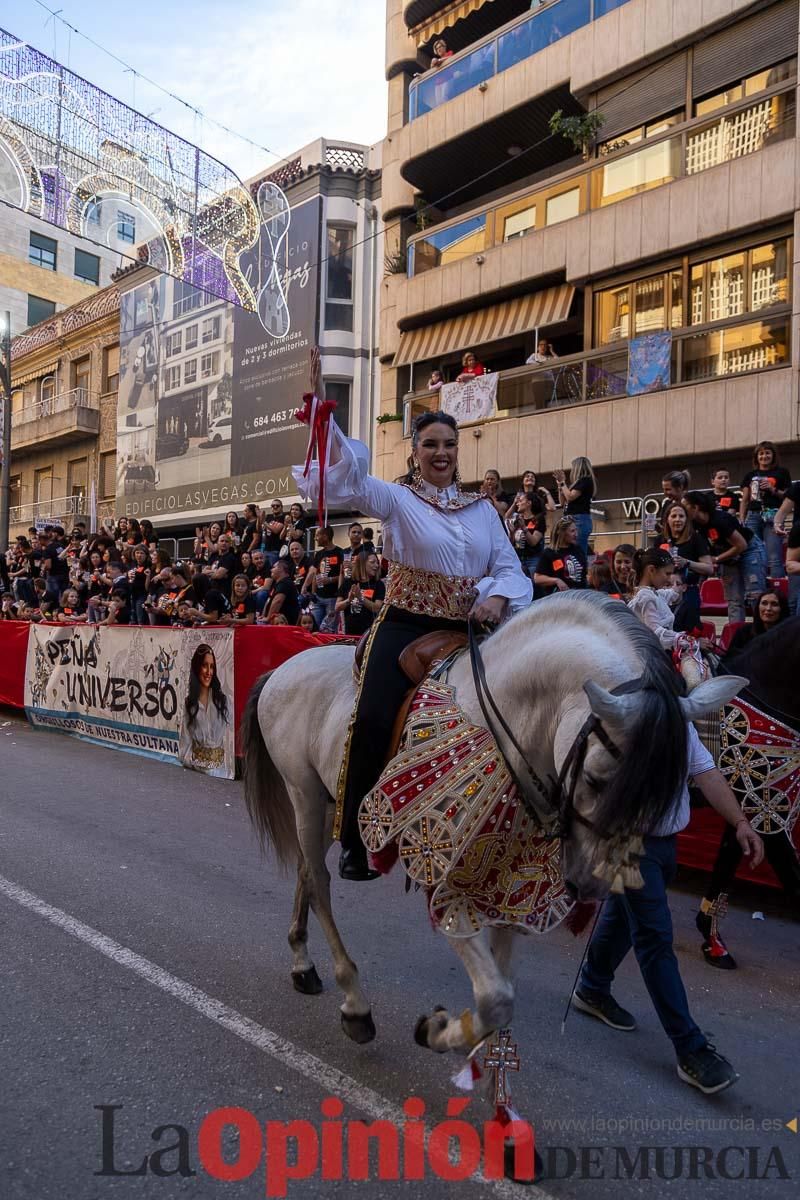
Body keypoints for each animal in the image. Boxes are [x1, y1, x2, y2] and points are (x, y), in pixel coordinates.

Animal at [239, 595, 743, 1056]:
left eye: (668, 798)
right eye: (598, 779)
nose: (592, 885)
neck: (510, 721)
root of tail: (284, 668)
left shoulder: (508, 880)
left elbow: (502, 992)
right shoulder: (443, 872)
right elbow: (497, 997)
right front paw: (437, 1031)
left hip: (328, 802)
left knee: (307, 872)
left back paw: (303, 964)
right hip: (303, 793)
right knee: (320, 882)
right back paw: (354, 1003)